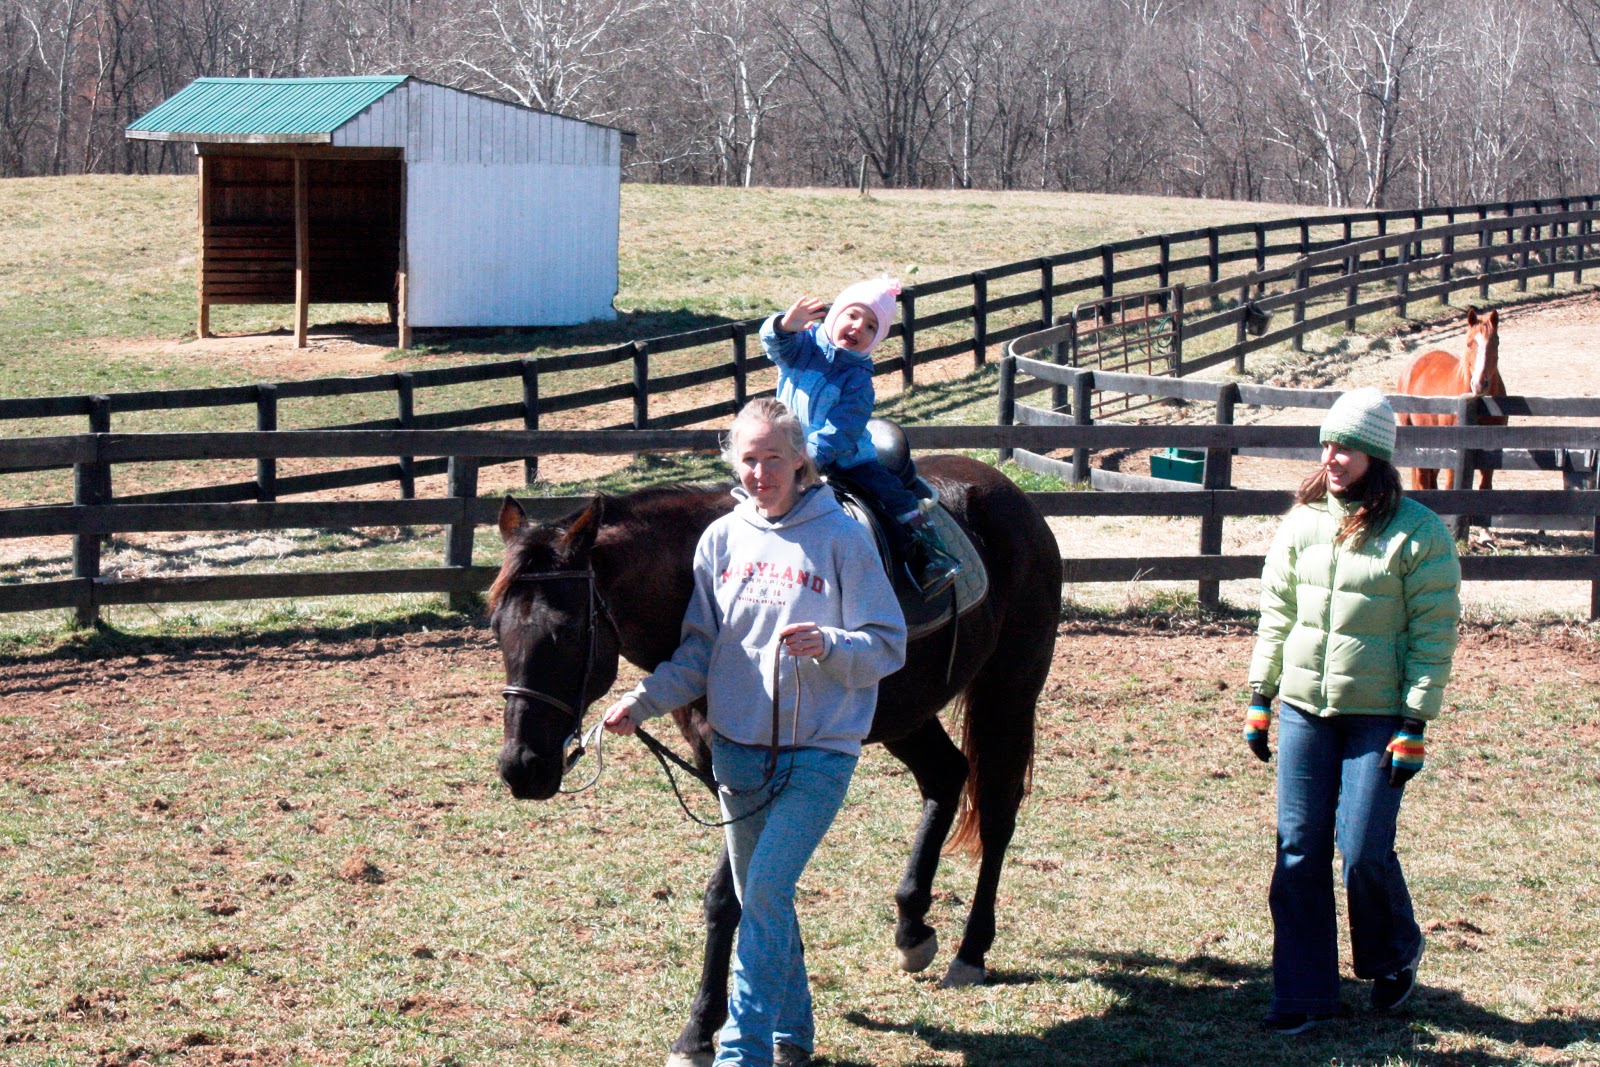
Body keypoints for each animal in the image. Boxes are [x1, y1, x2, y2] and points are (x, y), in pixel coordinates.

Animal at [1395, 306, 1507, 490]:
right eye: (1469, 344)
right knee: (1422, 478)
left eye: (1496, 342)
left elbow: (1485, 486)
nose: (1479, 384)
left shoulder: (1491, 452)